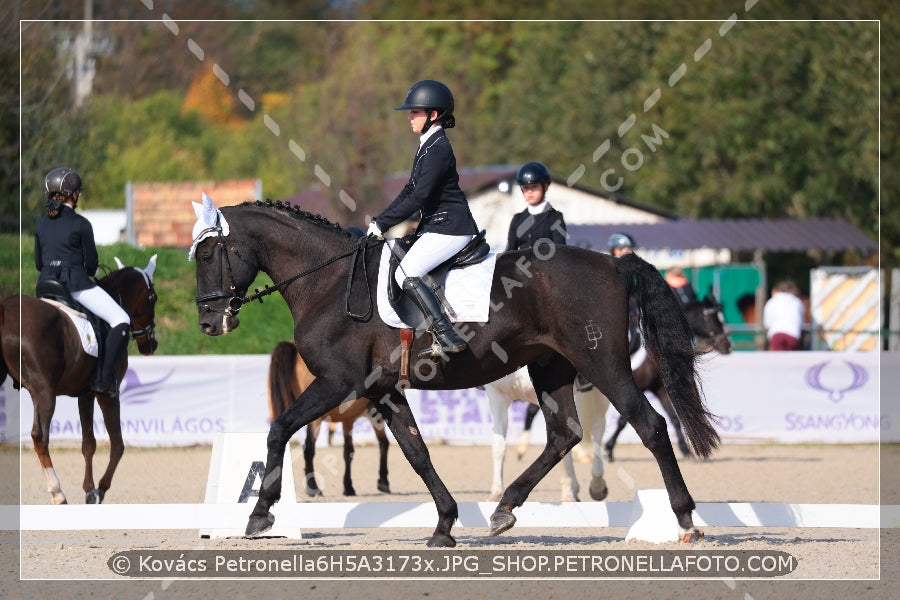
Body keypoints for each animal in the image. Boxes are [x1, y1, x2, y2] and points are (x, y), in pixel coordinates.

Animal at [266, 342, 388, 496]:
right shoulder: (374, 415)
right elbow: (384, 443)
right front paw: (383, 482)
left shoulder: (348, 419)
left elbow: (348, 451)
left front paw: (348, 487)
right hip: (314, 418)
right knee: (309, 449)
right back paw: (313, 487)